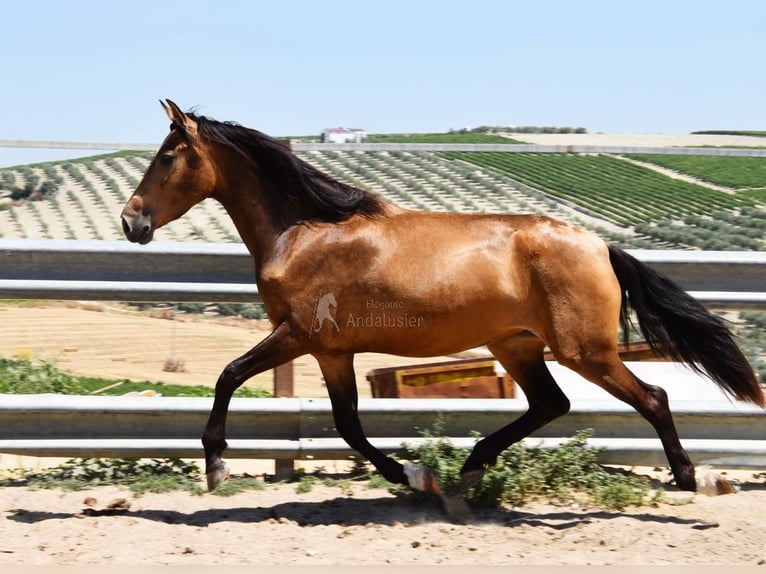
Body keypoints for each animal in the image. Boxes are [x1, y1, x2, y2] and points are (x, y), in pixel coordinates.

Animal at [120, 100, 760, 504]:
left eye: (167, 156)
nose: (131, 221)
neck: (302, 231)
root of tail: (599, 245)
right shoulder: (331, 352)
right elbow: (347, 424)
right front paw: (413, 476)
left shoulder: (298, 336)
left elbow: (229, 375)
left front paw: (216, 466)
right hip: (517, 345)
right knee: (550, 404)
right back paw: (472, 465)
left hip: (585, 350)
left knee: (651, 397)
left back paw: (686, 479)